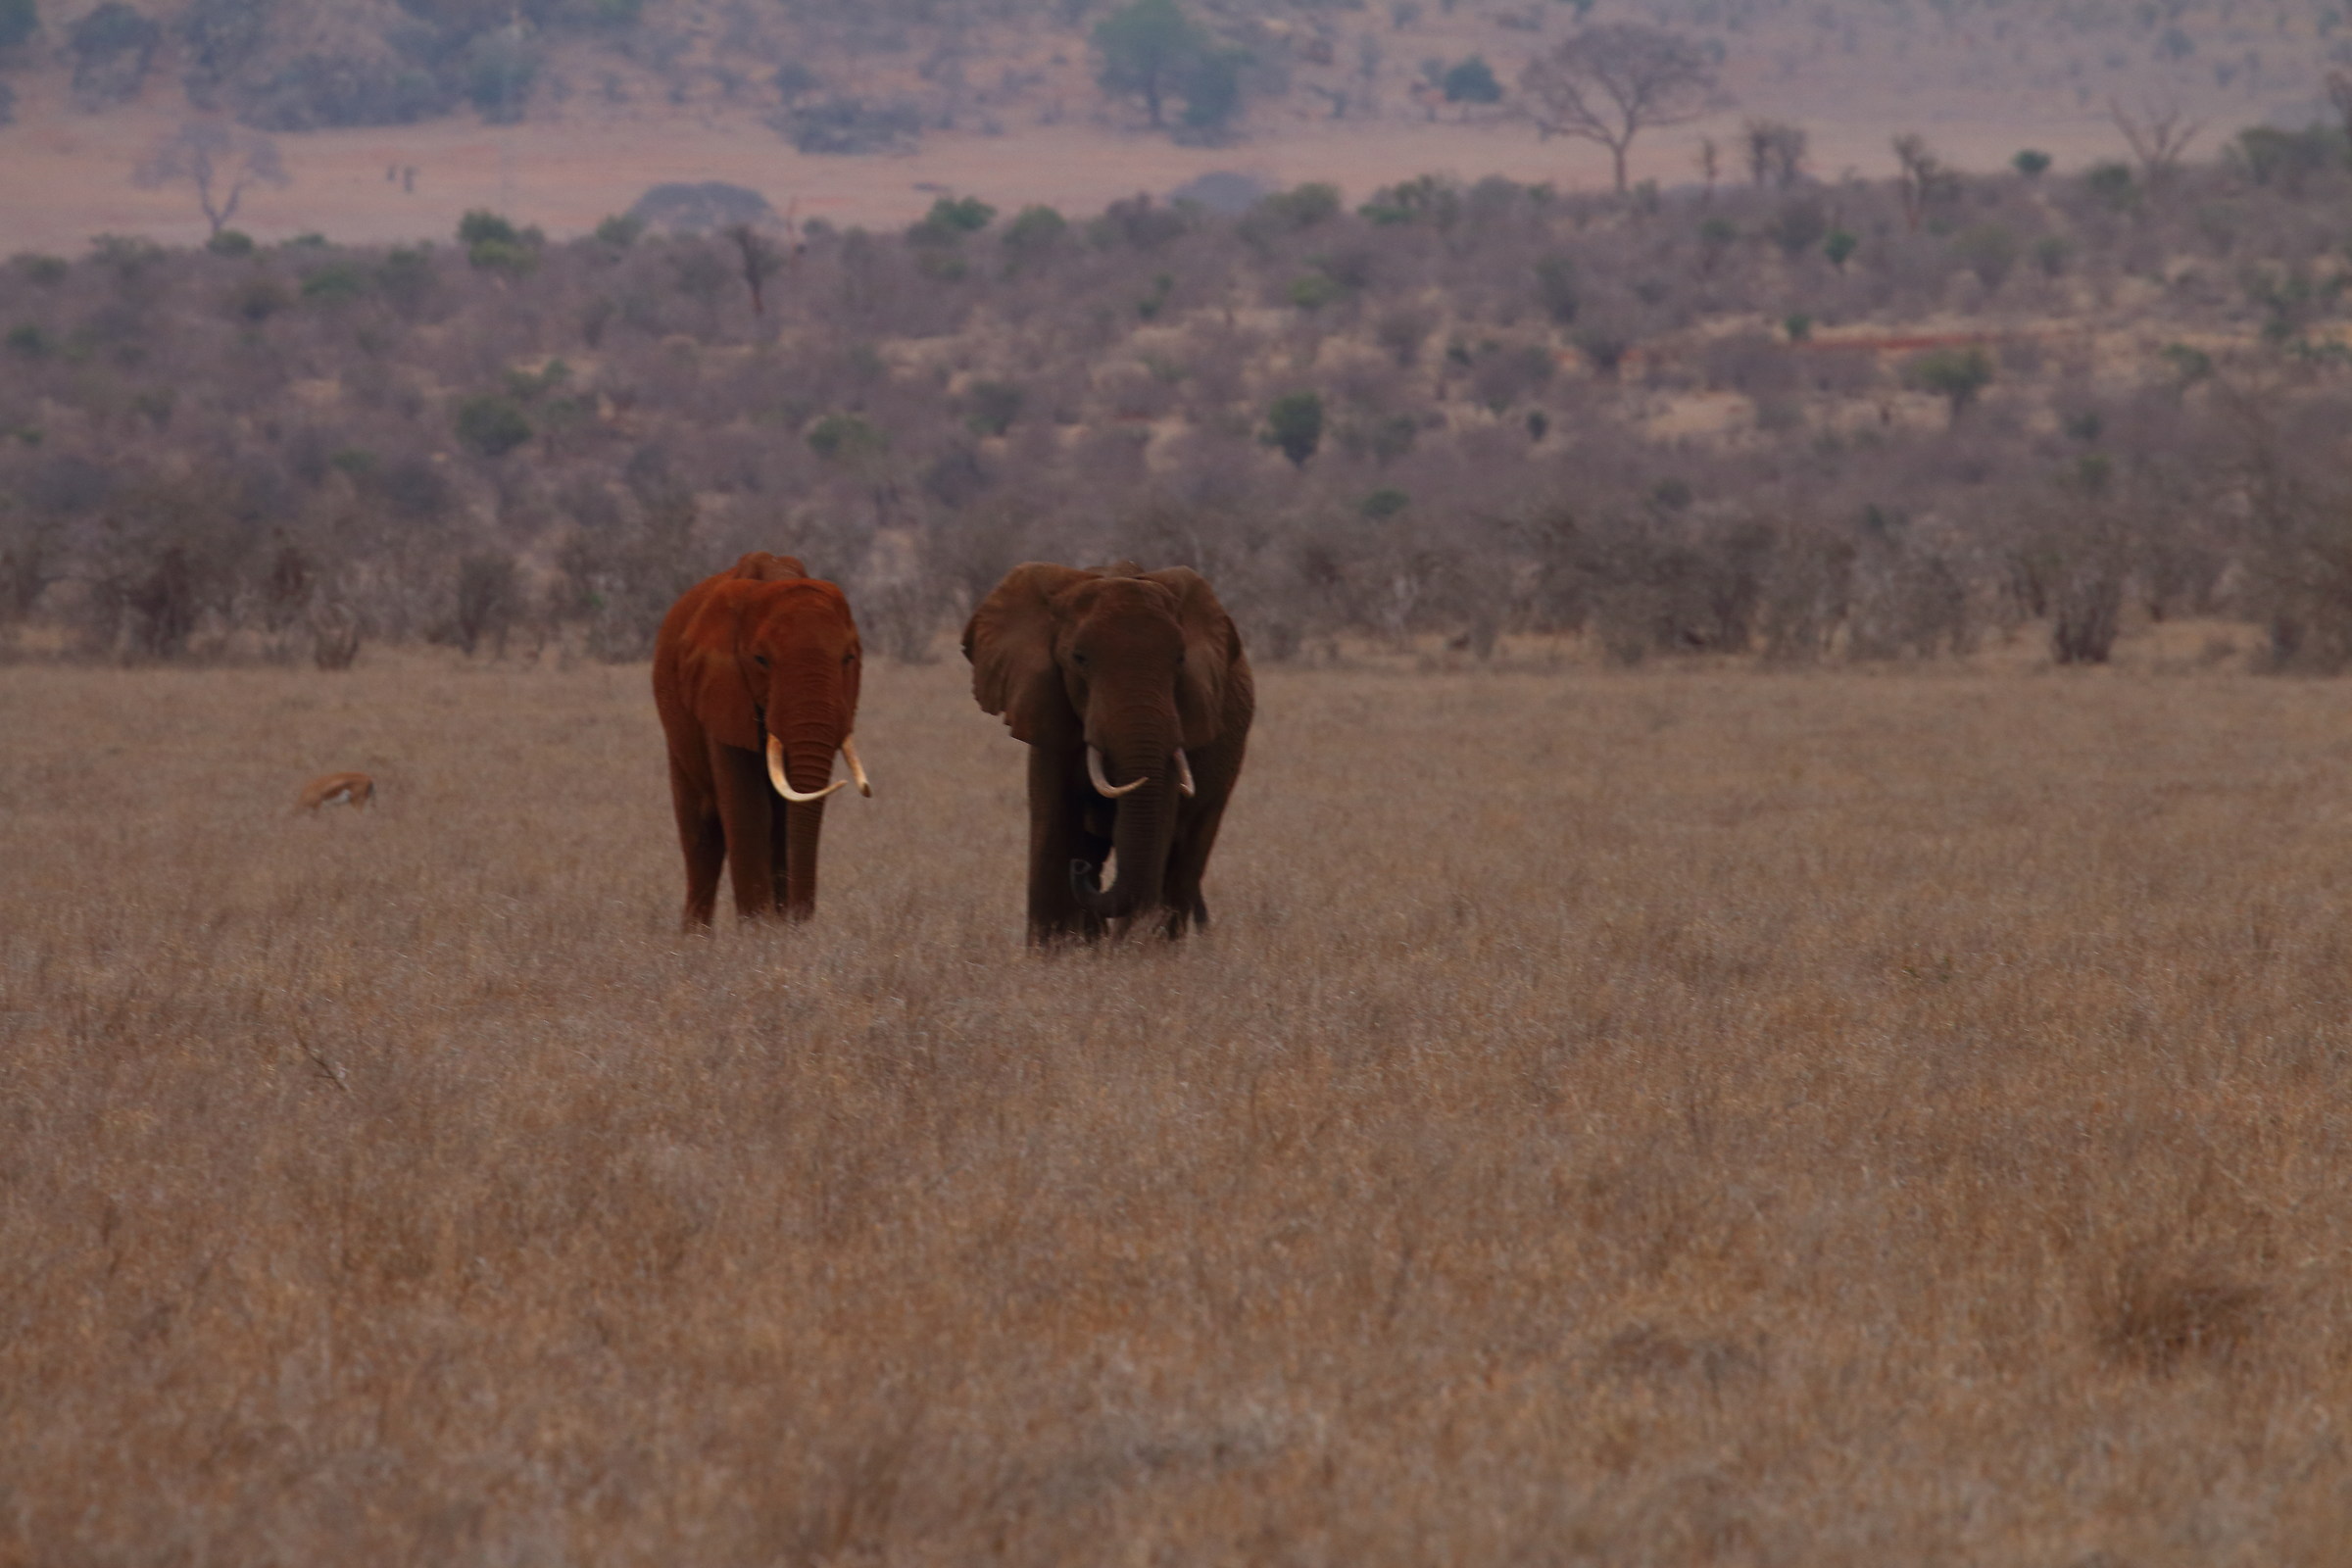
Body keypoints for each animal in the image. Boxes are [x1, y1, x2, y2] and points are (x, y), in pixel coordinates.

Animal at [652, 552, 871, 927]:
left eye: (848, 658)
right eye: (761, 660)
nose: (801, 919)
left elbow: (783, 815)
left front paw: (779, 931)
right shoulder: (721, 690)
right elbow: (749, 810)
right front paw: (758, 931)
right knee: (701, 834)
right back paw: (695, 938)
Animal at [963, 561, 1253, 943]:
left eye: (1180, 660)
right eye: (1079, 659)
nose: (1080, 869)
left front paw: (1133, 952)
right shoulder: (1047, 711)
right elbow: (1056, 824)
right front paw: (1057, 950)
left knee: (1186, 854)